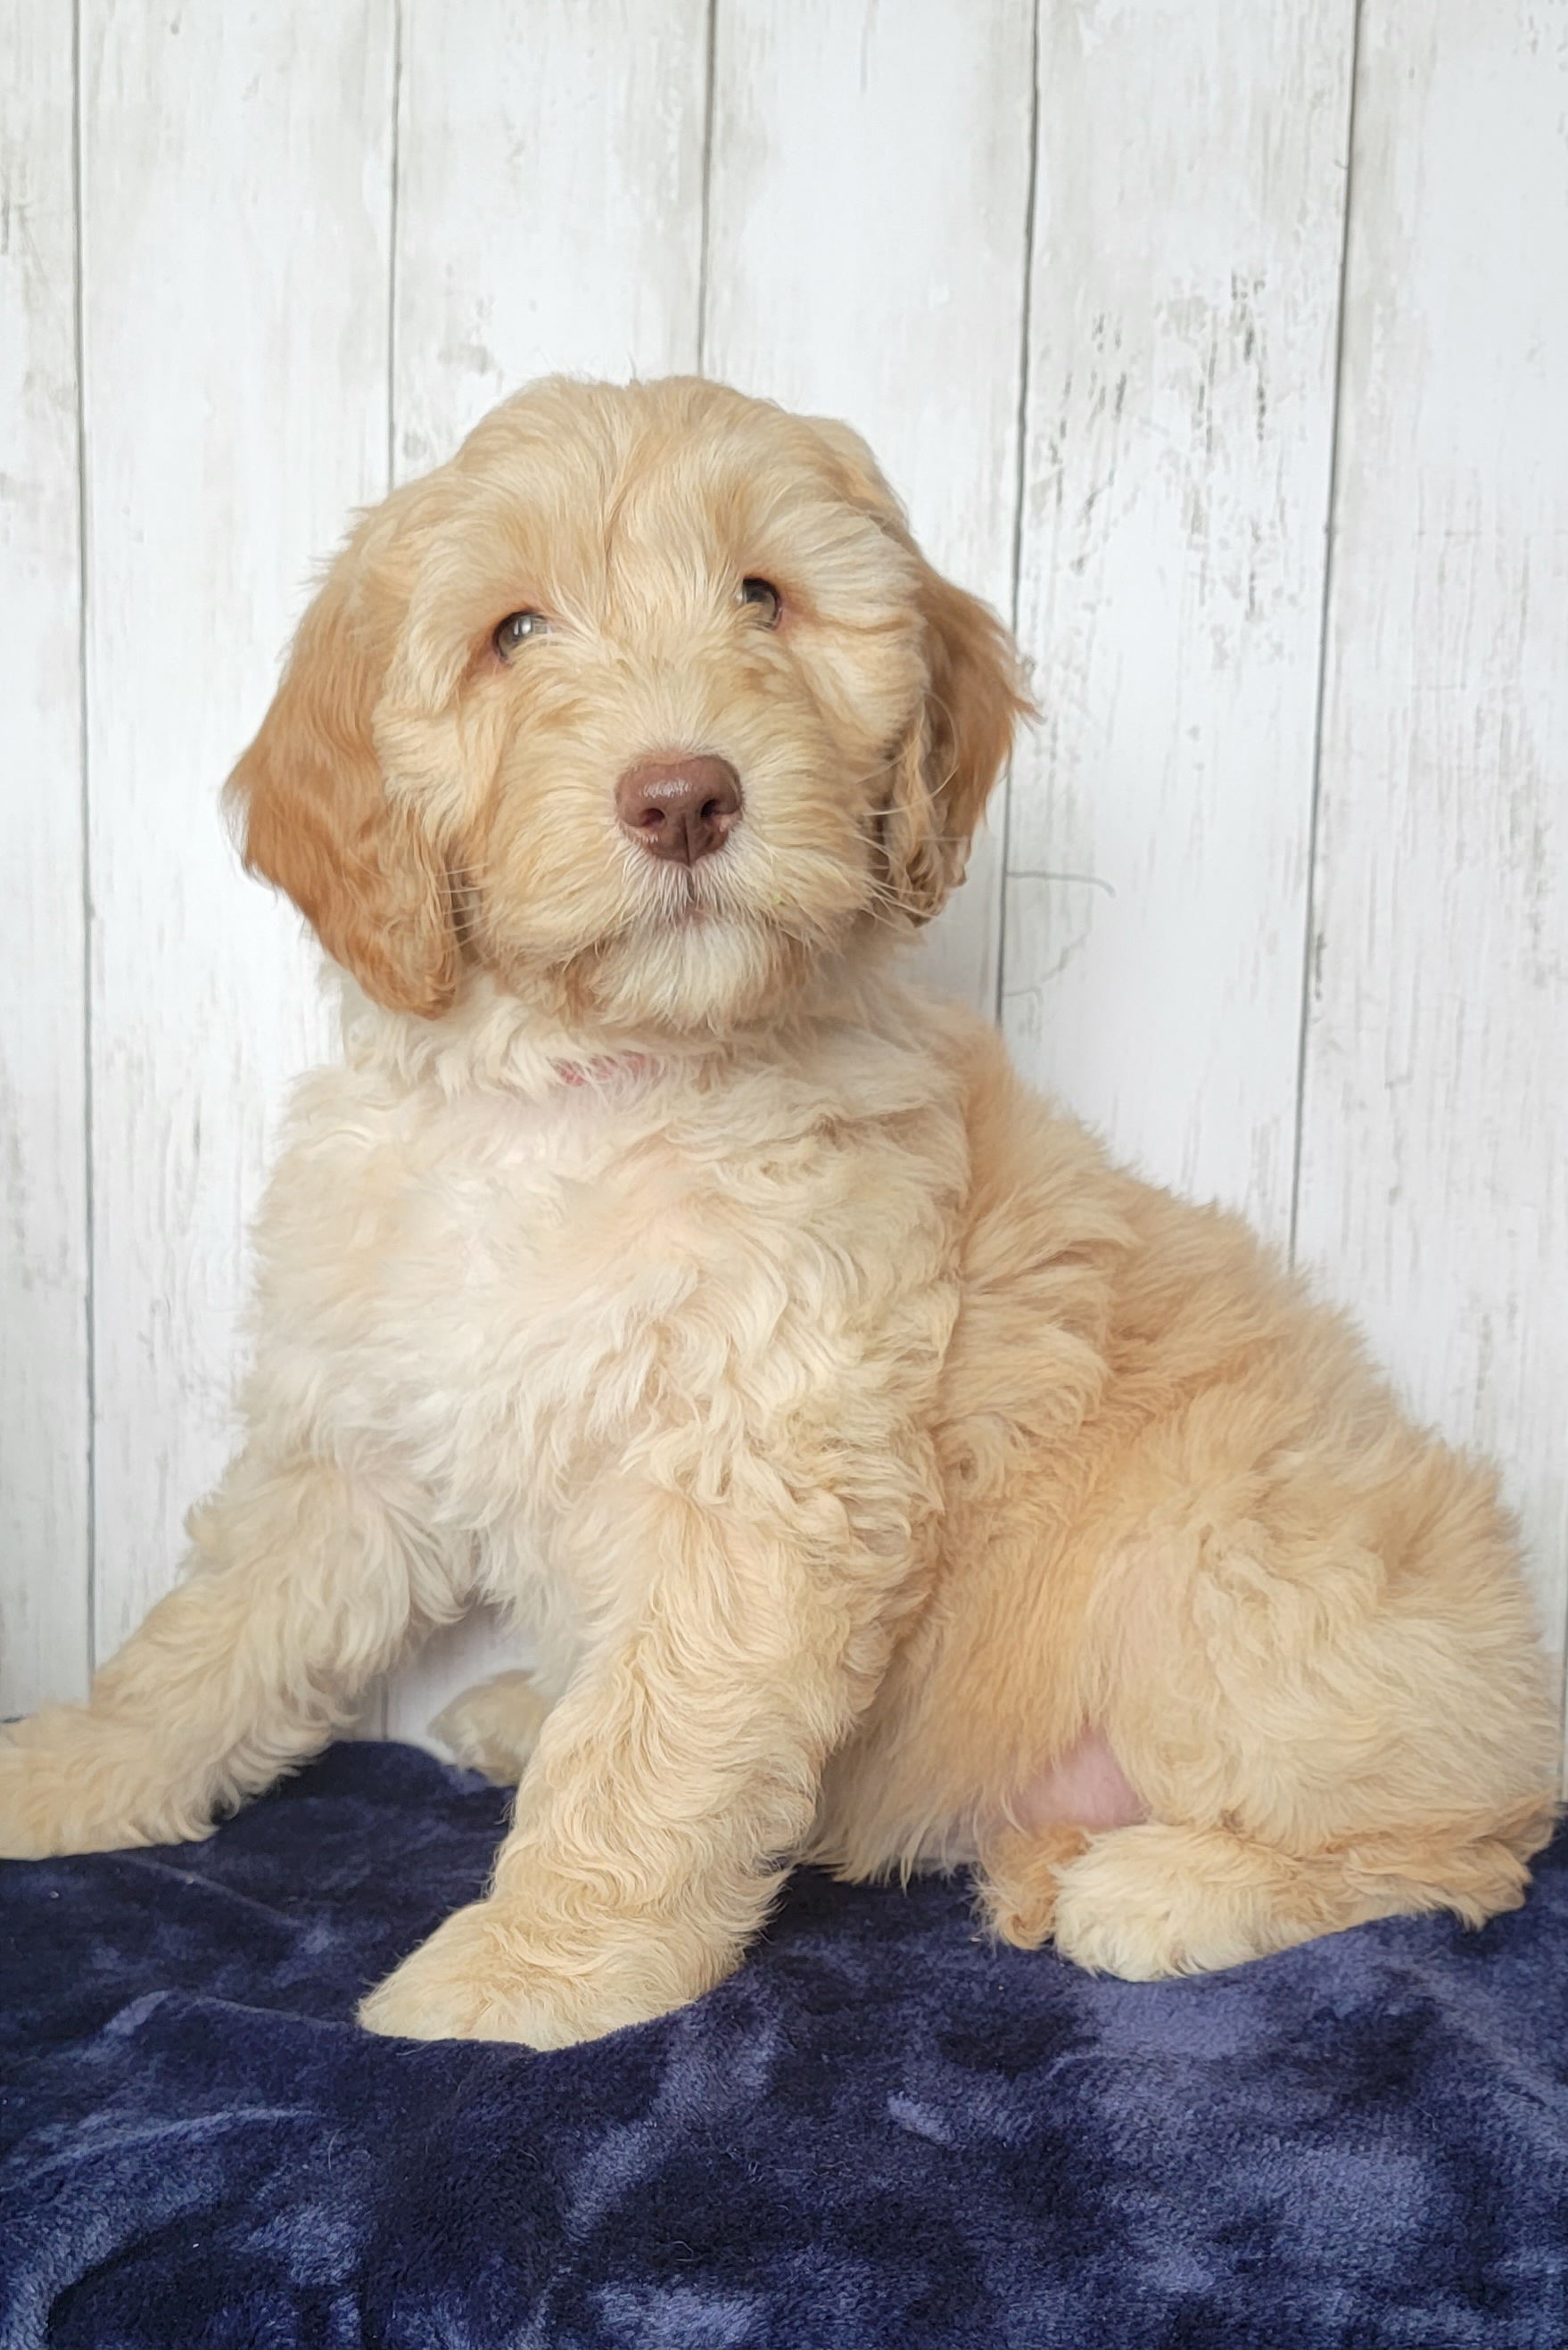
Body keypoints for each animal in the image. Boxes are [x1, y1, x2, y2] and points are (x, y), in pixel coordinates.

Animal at [1, 376, 1556, 2045]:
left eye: (763, 597)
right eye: (513, 633)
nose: (683, 794)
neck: (593, 1082)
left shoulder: (763, 1473)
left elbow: (649, 1737)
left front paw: (530, 1971)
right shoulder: (356, 1429)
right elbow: (221, 1630)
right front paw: (77, 1765)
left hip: (1232, 1572)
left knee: (1465, 1845)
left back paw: (1169, 1885)